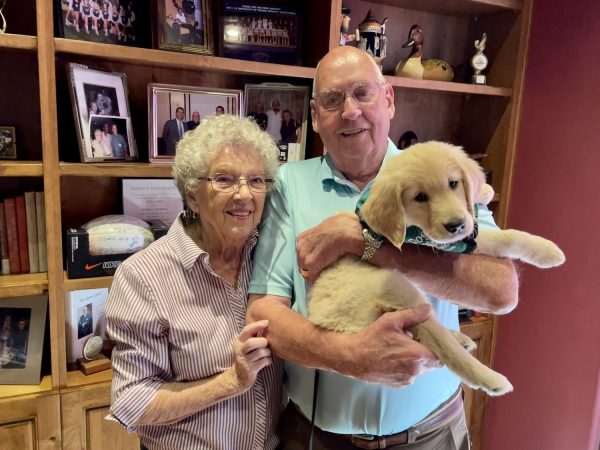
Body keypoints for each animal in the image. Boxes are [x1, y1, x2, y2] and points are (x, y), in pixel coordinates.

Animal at [308, 142, 564, 398]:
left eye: (453, 183)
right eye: (420, 197)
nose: (456, 225)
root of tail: (330, 323)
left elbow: (473, 203)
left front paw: (484, 189)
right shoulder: (449, 242)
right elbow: (502, 238)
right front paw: (548, 251)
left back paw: (460, 338)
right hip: (398, 287)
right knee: (443, 345)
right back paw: (491, 378)